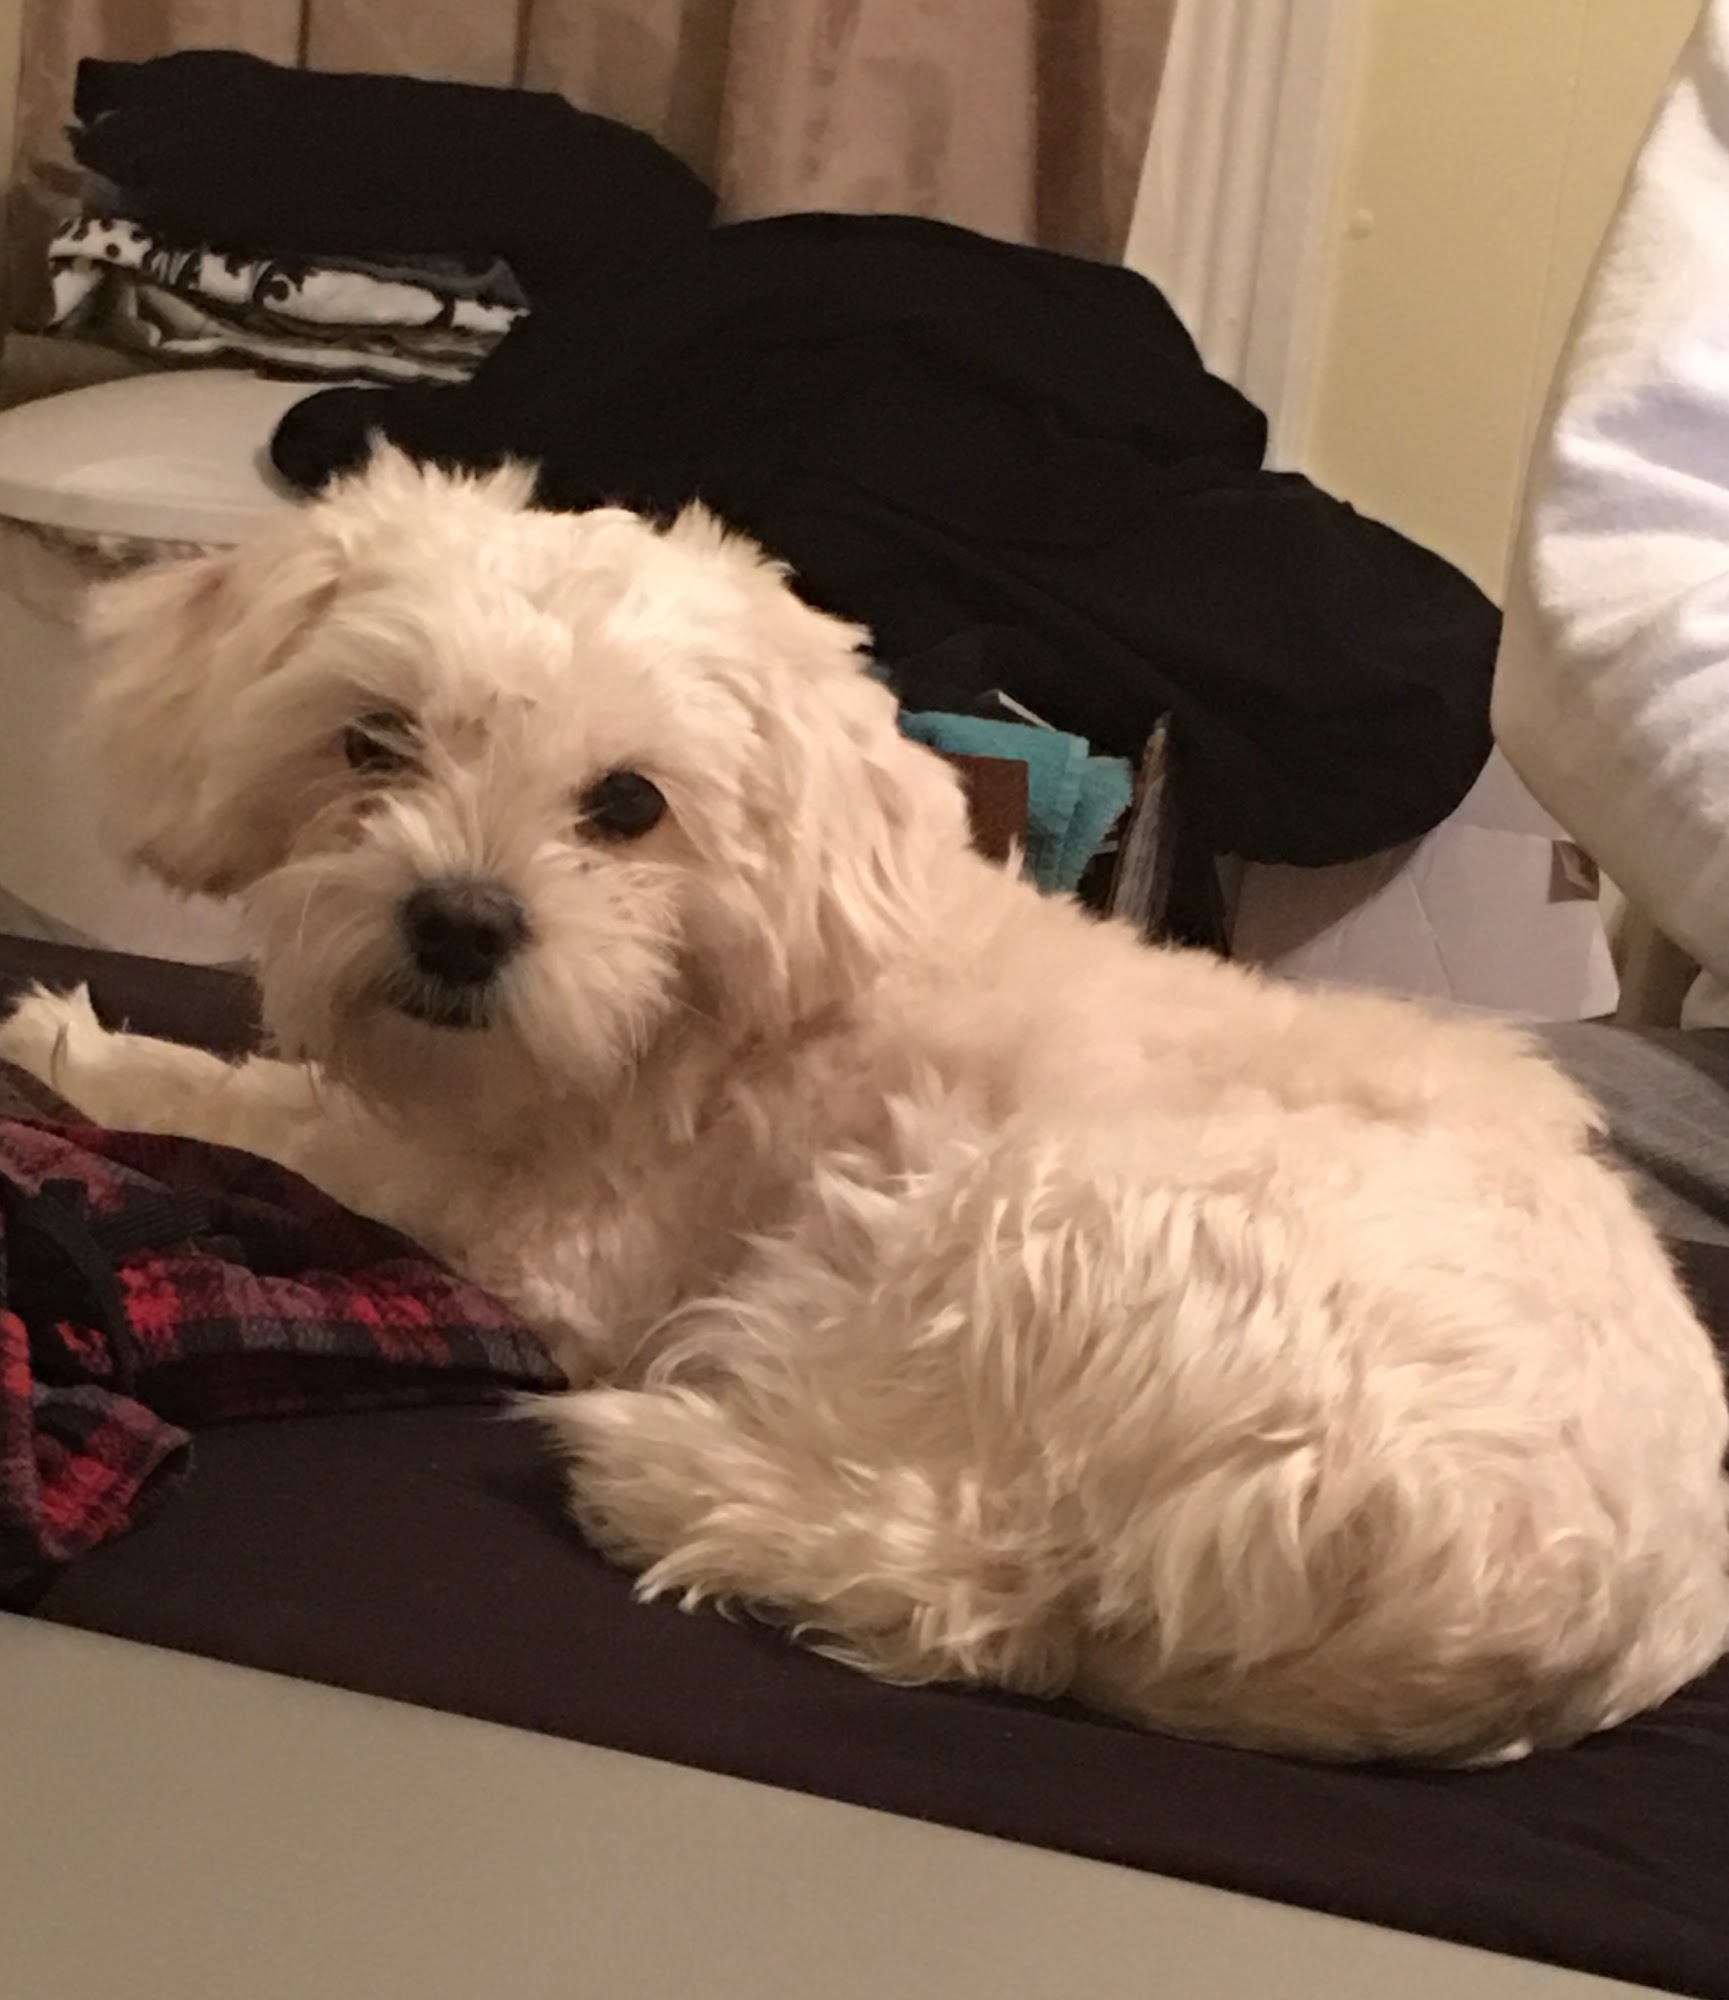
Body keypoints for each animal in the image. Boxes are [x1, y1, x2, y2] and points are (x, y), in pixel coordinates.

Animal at [3, 449, 1725, 1765]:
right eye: (373, 741)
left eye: (629, 803)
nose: (459, 926)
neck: (695, 1006)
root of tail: (1564, 1622)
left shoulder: (537, 1243)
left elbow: (266, 1128)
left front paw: (82, 1056)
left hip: (1004, 1229)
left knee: (970, 1589)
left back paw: (664, 1479)